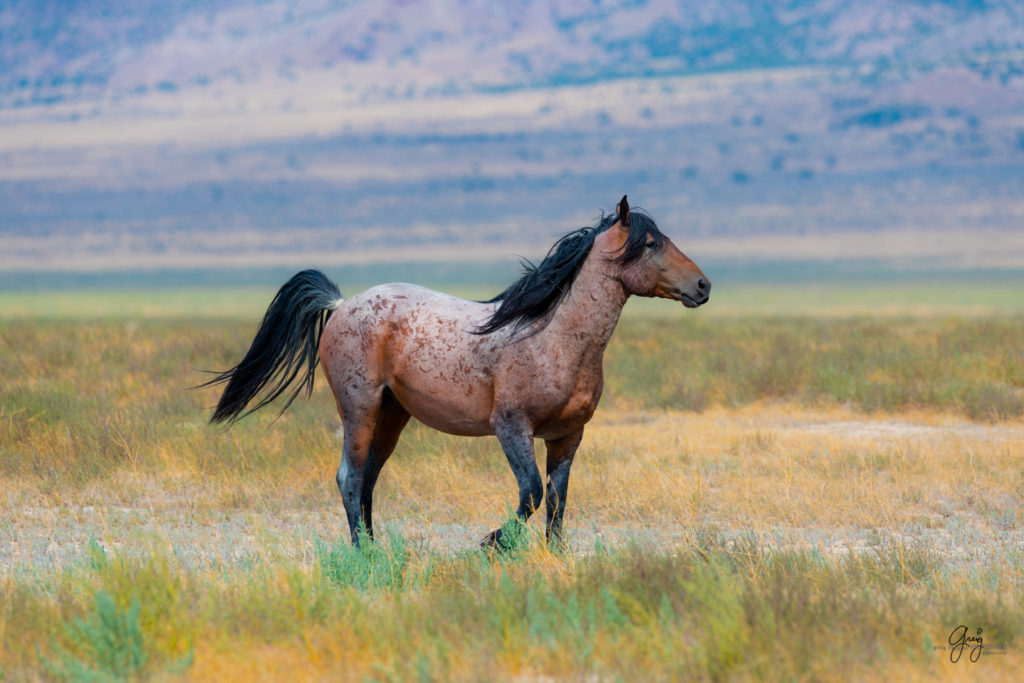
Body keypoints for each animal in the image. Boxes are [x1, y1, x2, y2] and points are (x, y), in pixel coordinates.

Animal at [203, 194, 708, 548]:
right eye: (650, 244)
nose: (703, 286)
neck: (556, 337)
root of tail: (342, 303)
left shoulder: (568, 437)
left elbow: (557, 502)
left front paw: (554, 556)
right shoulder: (511, 427)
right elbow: (530, 493)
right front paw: (491, 544)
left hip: (392, 415)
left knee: (367, 479)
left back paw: (378, 550)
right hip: (359, 409)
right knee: (349, 478)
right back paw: (363, 555)